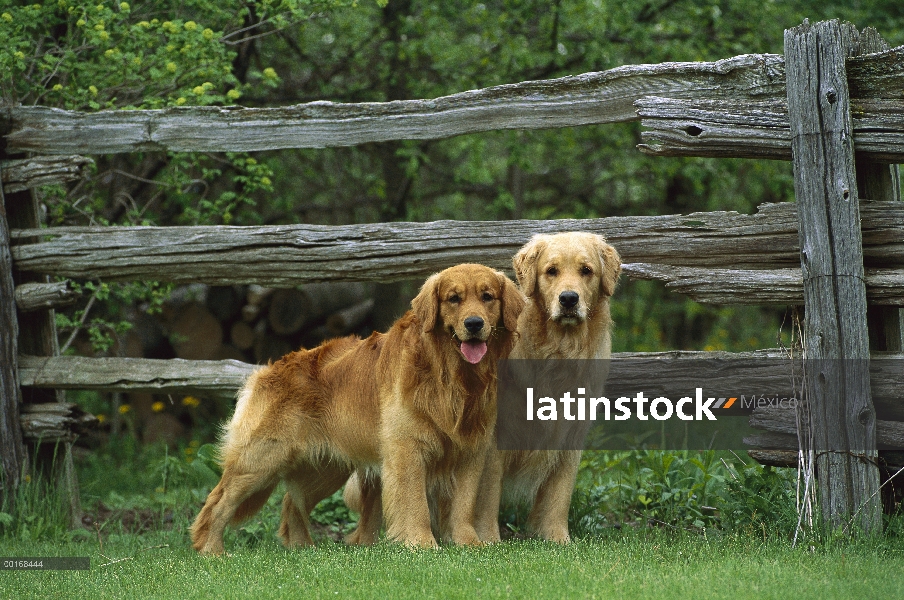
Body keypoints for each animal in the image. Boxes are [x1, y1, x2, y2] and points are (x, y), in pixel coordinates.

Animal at [189, 262, 524, 552]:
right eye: (454, 299)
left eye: (487, 297)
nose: (474, 324)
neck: (450, 376)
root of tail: (266, 370)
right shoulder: (407, 449)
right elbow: (414, 502)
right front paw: (421, 544)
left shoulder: (471, 450)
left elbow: (464, 505)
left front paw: (468, 543)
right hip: (261, 458)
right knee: (218, 502)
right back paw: (211, 550)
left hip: (323, 469)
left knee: (290, 503)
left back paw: (302, 548)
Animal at [342, 232, 616, 548]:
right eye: (551, 271)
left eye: (586, 270)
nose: (569, 299)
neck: (557, 352)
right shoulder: (493, 440)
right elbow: (486, 498)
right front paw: (489, 541)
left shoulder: (569, 438)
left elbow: (557, 498)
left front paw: (558, 541)